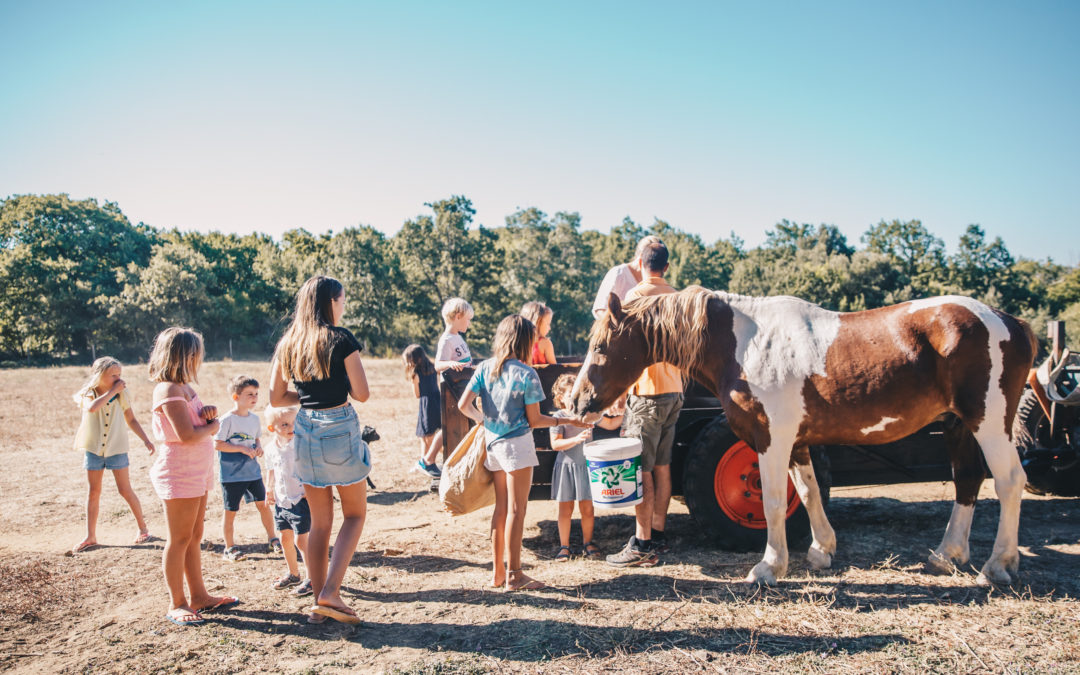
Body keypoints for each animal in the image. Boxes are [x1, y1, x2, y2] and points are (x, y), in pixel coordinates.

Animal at [574, 285, 1036, 583]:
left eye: (600, 347)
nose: (578, 401)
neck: (745, 344)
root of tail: (1010, 322)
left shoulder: (771, 439)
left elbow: (774, 501)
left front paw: (769, 567)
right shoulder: (796, 442)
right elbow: (809, 492)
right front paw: (821, 550)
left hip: (989, 422)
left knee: (1010, 481)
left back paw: (998, 566)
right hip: (959, 424)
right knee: (967, 481)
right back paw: (946, 555)